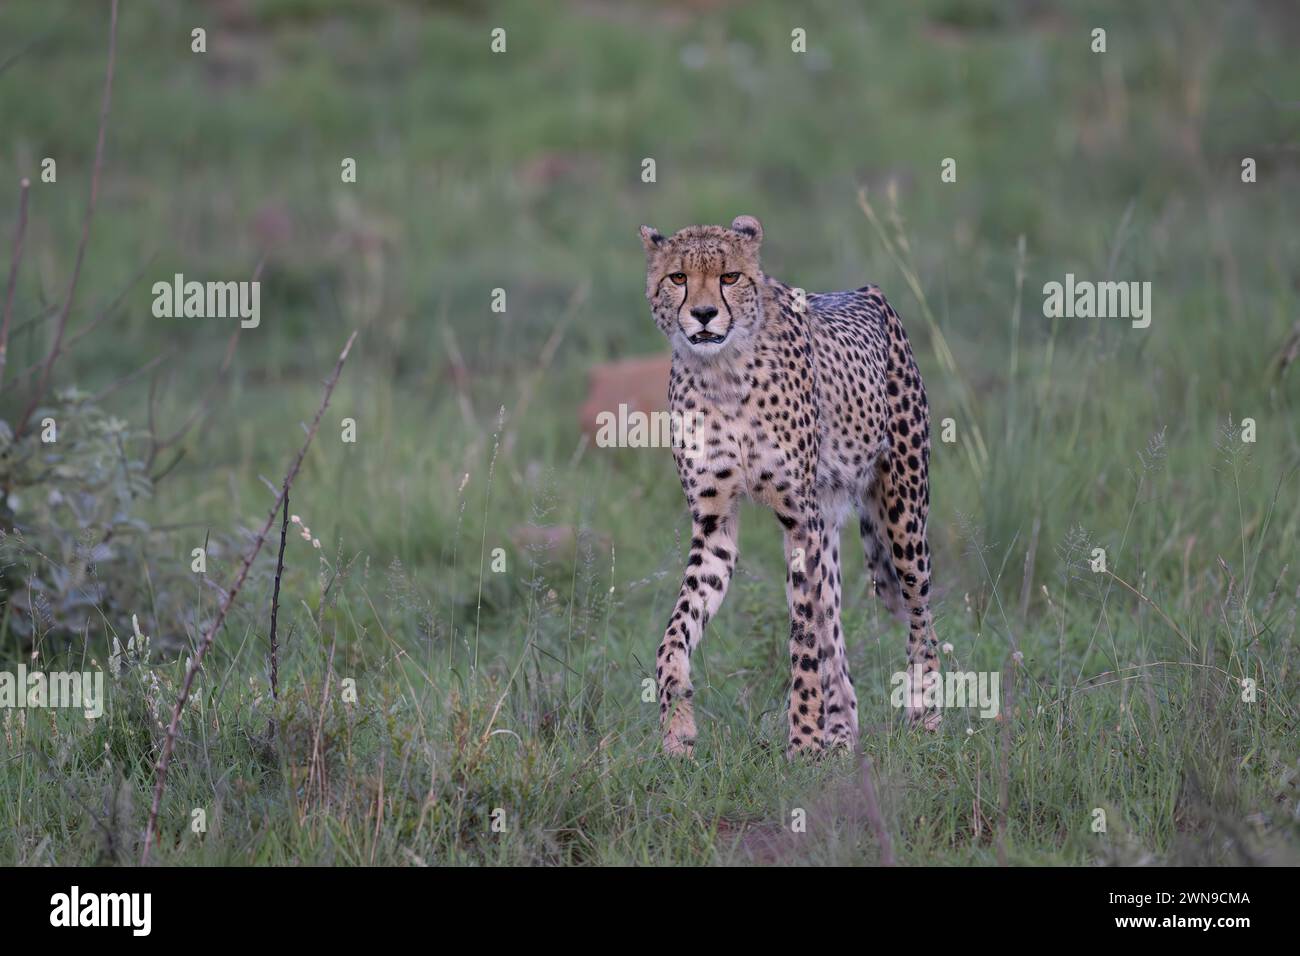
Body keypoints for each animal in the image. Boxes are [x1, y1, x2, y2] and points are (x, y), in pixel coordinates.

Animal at [637, 213, 935, 759]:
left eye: (730, 276)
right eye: (678, 278)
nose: (705, 314)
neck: (722, 372)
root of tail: (868, 290)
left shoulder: (799, 521)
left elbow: (802, 636)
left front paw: (802, 741)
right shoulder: (715, 526)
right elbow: (674, 634)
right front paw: (677, 730)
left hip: (904, 514)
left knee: (921, 617)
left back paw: (925, 720)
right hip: (831, 520)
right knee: (835, 626)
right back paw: (842, 736)